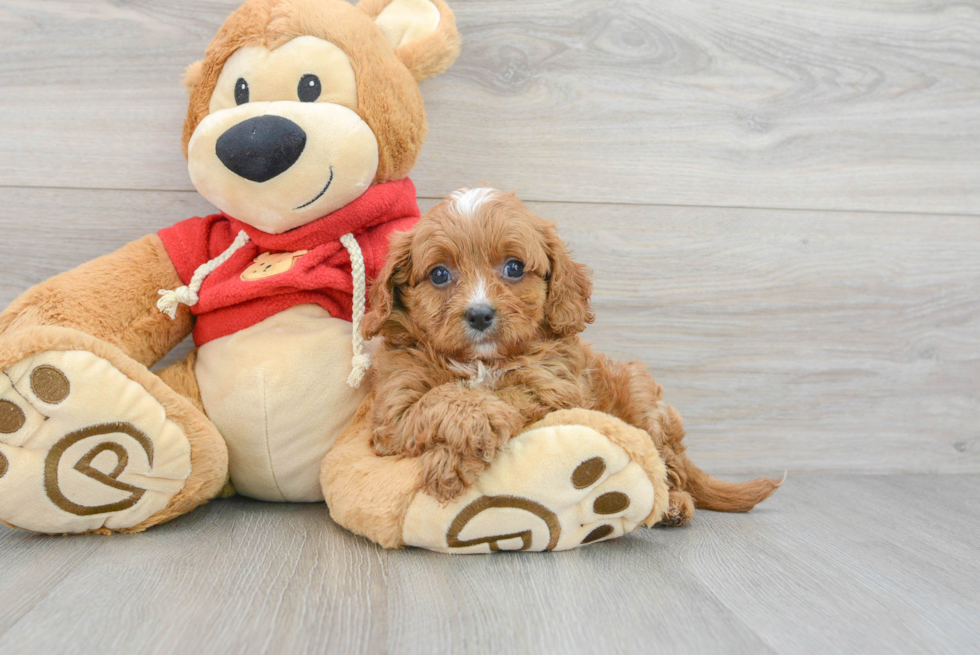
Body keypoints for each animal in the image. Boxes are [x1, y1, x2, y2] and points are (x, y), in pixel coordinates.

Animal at [360, 187, 780, 524]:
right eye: (439, 274)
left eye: (514, 267)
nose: (479, 314)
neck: (482, 361)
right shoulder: (392, 413)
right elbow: (439, 398)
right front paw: (471, 433)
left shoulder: (554, 388)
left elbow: (506, 393)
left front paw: (454, 457)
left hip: (642, 397)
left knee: (667, 465)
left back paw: (673, 505)